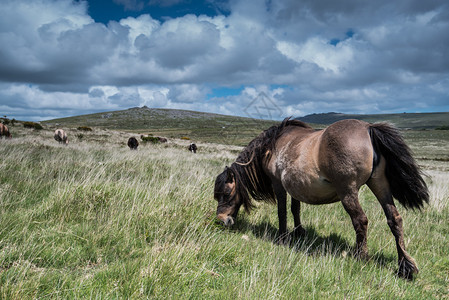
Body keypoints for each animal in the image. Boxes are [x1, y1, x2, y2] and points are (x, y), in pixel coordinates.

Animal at [214, 117, 428, 278]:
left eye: (226, 193)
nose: (221, 221)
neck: (273, 145)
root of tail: (368, 128)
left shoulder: (278, 184)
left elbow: (282, 211)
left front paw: (283, 238)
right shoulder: (295, 186)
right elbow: (295, 209)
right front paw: (299, 233)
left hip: (348, 191)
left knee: (361, 221)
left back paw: (360, 257)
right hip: (380, 185)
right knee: (394, 219)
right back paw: (405, 266)